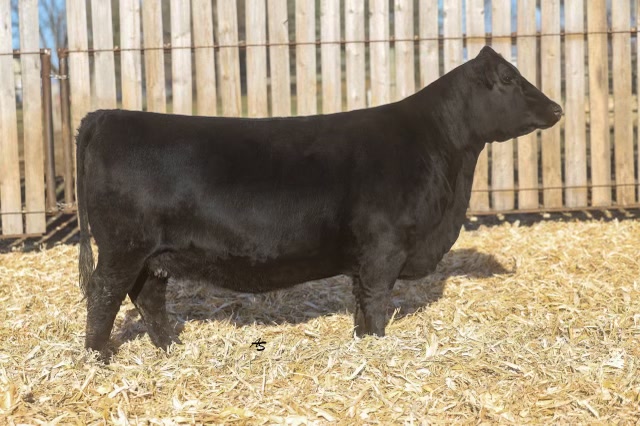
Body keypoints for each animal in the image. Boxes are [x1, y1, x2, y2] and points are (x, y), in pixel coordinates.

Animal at [76, 46, 562, 354]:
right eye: (509, 79)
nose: (556, 108)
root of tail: (104, 116)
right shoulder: (385, 248)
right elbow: (378, 302)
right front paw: (378, 346)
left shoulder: (365, 258)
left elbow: (362, 303)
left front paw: (363, 342)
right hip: (123, 246)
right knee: (103, 294)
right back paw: (98, 358)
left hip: (154, 254)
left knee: (147, 297)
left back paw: (171, 348)